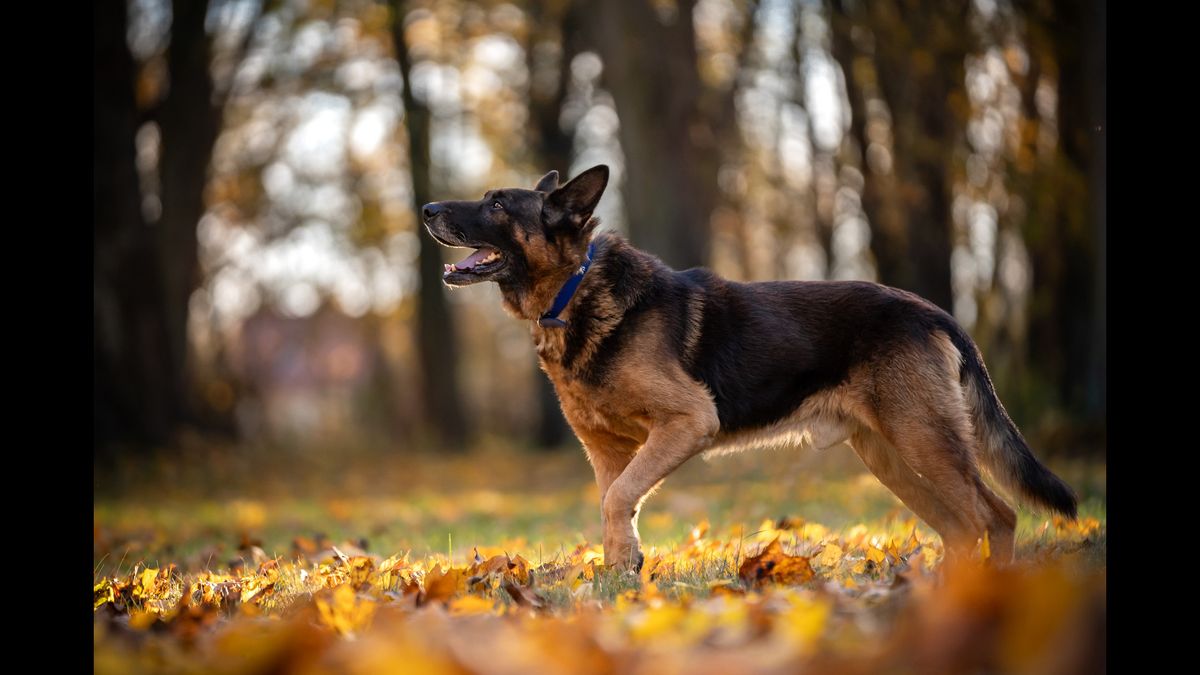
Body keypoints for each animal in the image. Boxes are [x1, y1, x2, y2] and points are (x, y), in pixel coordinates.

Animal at [422, 164, 1080, 566]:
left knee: (993, 515)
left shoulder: (688, 422)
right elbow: (615, 510)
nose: (426, 207)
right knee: (964, 528)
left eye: (497, 204)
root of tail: (932, 311)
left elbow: (618, 502)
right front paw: (620, 583)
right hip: (890, 454)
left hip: (923, 439)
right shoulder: (608, 453)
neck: (574, 292)